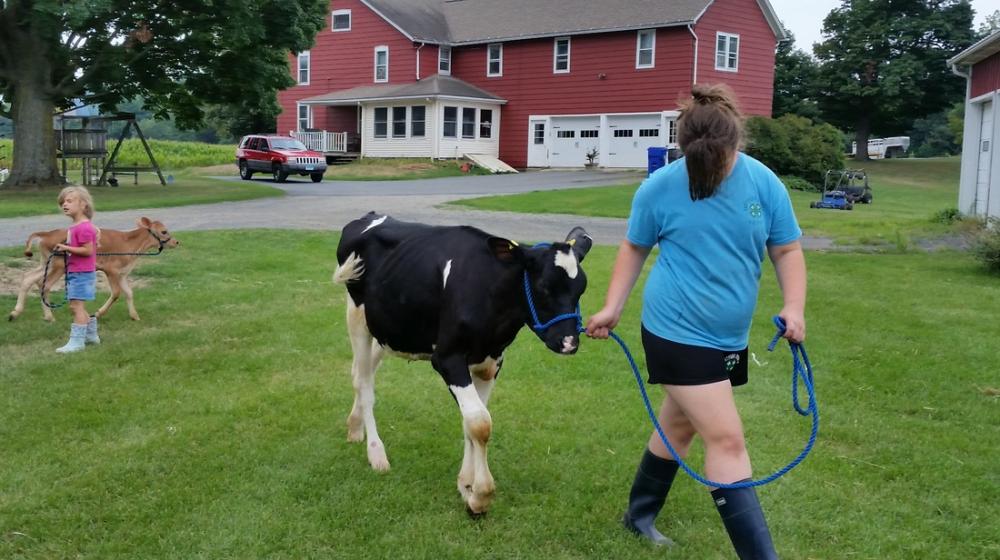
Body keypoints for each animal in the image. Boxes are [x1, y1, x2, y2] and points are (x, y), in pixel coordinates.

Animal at [8, 219, 180, 324]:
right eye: (164, 231)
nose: (176, 242)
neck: (131, 245)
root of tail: (48, 233)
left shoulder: (122, 273)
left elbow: (129, 293)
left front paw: (134, 316)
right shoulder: (111, 270)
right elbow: (116, 293)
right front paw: (98, 313)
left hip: (46, 263)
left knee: (29, 278)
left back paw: (16, 313)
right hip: (58, 266)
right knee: (45, 285)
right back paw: (49, 316)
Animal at [332, 212, 588, 516]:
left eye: (581, 289)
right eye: (544, 287)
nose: (569, 342)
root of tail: (369, 217)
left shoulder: (491, 362)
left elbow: (472, 423)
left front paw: (466, 484)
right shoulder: (447, 358)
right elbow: (480, 423)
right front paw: (480, 495)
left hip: (387, 328)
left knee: (361, 372)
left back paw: (354, 427)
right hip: (357, 316)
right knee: (364, 383)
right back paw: (376, 453)